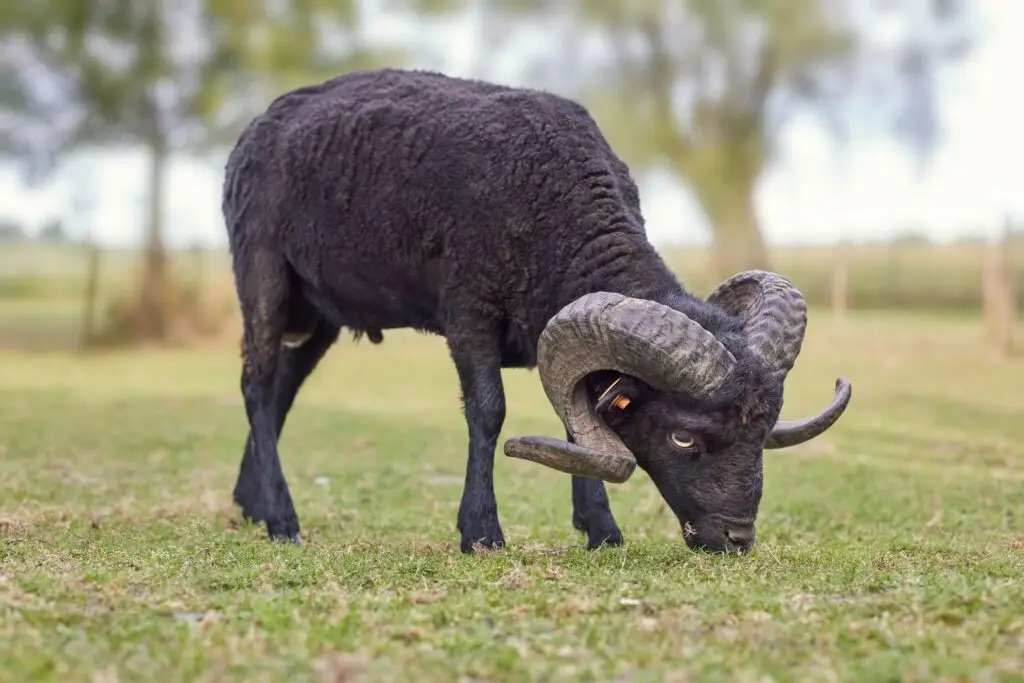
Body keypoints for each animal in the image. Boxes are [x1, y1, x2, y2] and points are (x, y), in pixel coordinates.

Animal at [222, 67, 852, 555]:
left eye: (762, 431)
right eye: (683, 439)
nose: (736, 540)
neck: (551, 199)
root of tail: (258, 127)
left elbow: (579, 422)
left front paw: (602, 531)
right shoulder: (469, 315)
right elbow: (489, 412)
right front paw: (481, 533)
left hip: (320, 313)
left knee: (283, 388)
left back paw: (252, 504)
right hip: (263, 276)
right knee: (257, 386)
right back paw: (282, 521)